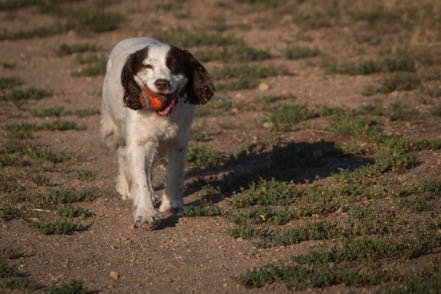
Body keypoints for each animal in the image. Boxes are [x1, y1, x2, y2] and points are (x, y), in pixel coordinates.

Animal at [101, 37, 215, 227]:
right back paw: (126, 188)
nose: (162, 83)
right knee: (122, 155)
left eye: (174, 65)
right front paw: (145, 214)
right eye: (147, 66)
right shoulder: (139, 143)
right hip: (114, 128)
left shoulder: (178, 141)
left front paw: (171, 204)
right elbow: (140, 178)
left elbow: (174, 172)